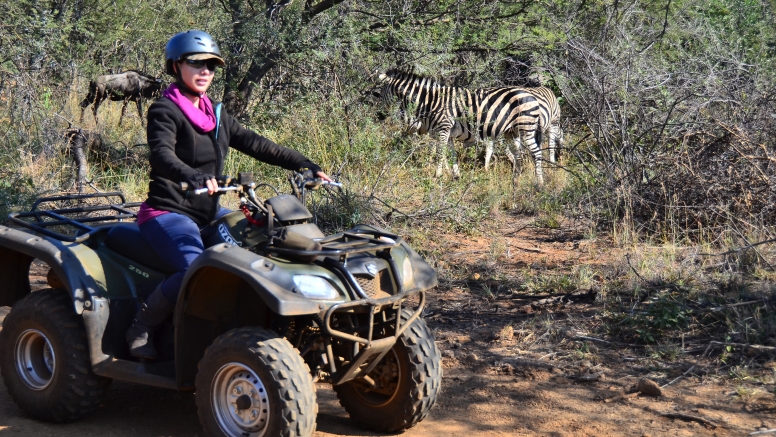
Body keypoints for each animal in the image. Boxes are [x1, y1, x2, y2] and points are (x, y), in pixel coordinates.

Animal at [376, 67, 544, 182]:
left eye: (379, 94)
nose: (379, 116)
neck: (430, 101)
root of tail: (531, 95)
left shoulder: (443, 128)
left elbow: (440, 153)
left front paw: (437, 175)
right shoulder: (448, 133)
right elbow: (451, 155)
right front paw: (456, 176)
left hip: (526, 128)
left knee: (536, 153)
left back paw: (539, 183)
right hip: (512, 132)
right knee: (519, 156)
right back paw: (516, 180)